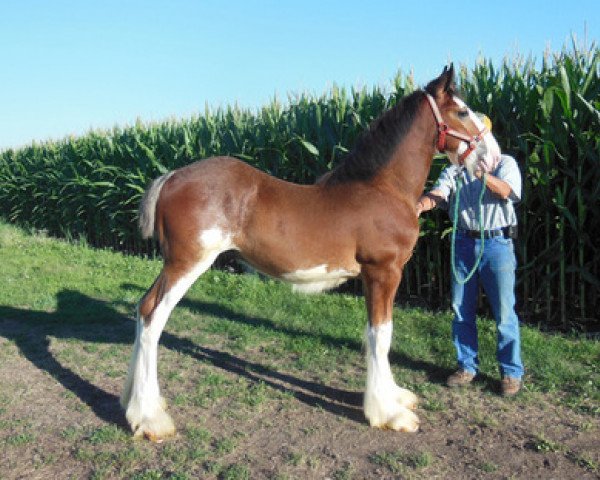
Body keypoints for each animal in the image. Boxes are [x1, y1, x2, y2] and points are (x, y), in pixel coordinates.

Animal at [119, 65, 494, 440]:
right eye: (462, 112)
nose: (490, 157)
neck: (383, 188)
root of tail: (170, 177)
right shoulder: (383, 272)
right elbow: (380, 335)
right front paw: (389, 413)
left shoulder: (382, 276)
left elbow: (382, 331)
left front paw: (396, 396)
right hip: (187, 263)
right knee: (153, 316)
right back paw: (150, 419)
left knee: (142, 308)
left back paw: (134, 404)